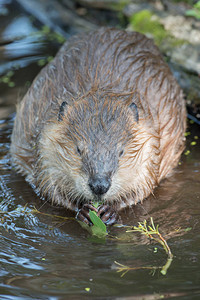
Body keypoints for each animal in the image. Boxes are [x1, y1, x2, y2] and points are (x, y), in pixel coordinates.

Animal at [10, 28, 186, 225]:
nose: (99, 186)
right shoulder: (45, 144)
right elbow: (47, 187)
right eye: (78, 150)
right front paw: (84, 210)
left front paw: (109, 211)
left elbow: (143, 188)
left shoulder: (149, 147)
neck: (99, 93)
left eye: (121, 152)